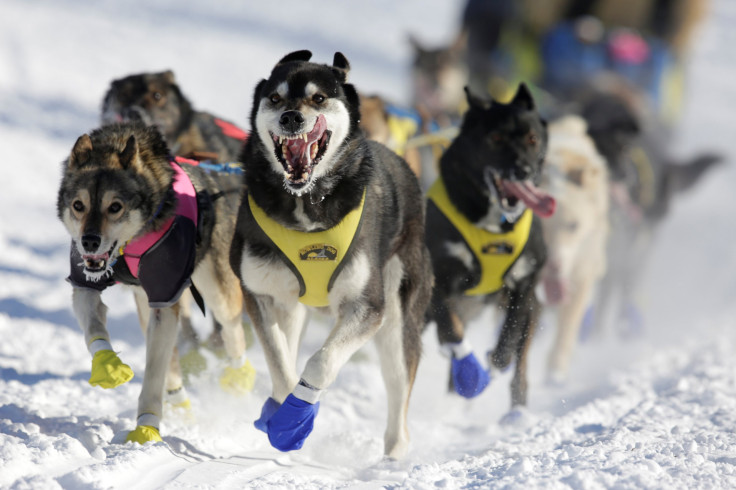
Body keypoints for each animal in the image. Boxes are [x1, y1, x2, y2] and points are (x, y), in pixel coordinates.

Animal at [231, 50, 432, 460]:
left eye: (319, 98)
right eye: (274, 98)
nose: (291, 117)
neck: (305, 201)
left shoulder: (367, 307)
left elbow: (322, 361)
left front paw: (296, 415)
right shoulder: (261, 293)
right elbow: (280, 360)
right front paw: (284, 415)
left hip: (397, 319)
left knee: (398, 390)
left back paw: (393, 455)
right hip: (293, 305)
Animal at [426, 84, 552, 418]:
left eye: (532, 139)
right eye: (495, 138)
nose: (523, 170)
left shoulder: (524, 284)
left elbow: (509, 337)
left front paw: (495, 362)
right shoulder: (440, 277)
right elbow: (451, 329)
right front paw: (467, 367)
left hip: (532, 308)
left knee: (521, 363)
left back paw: (516, 412)